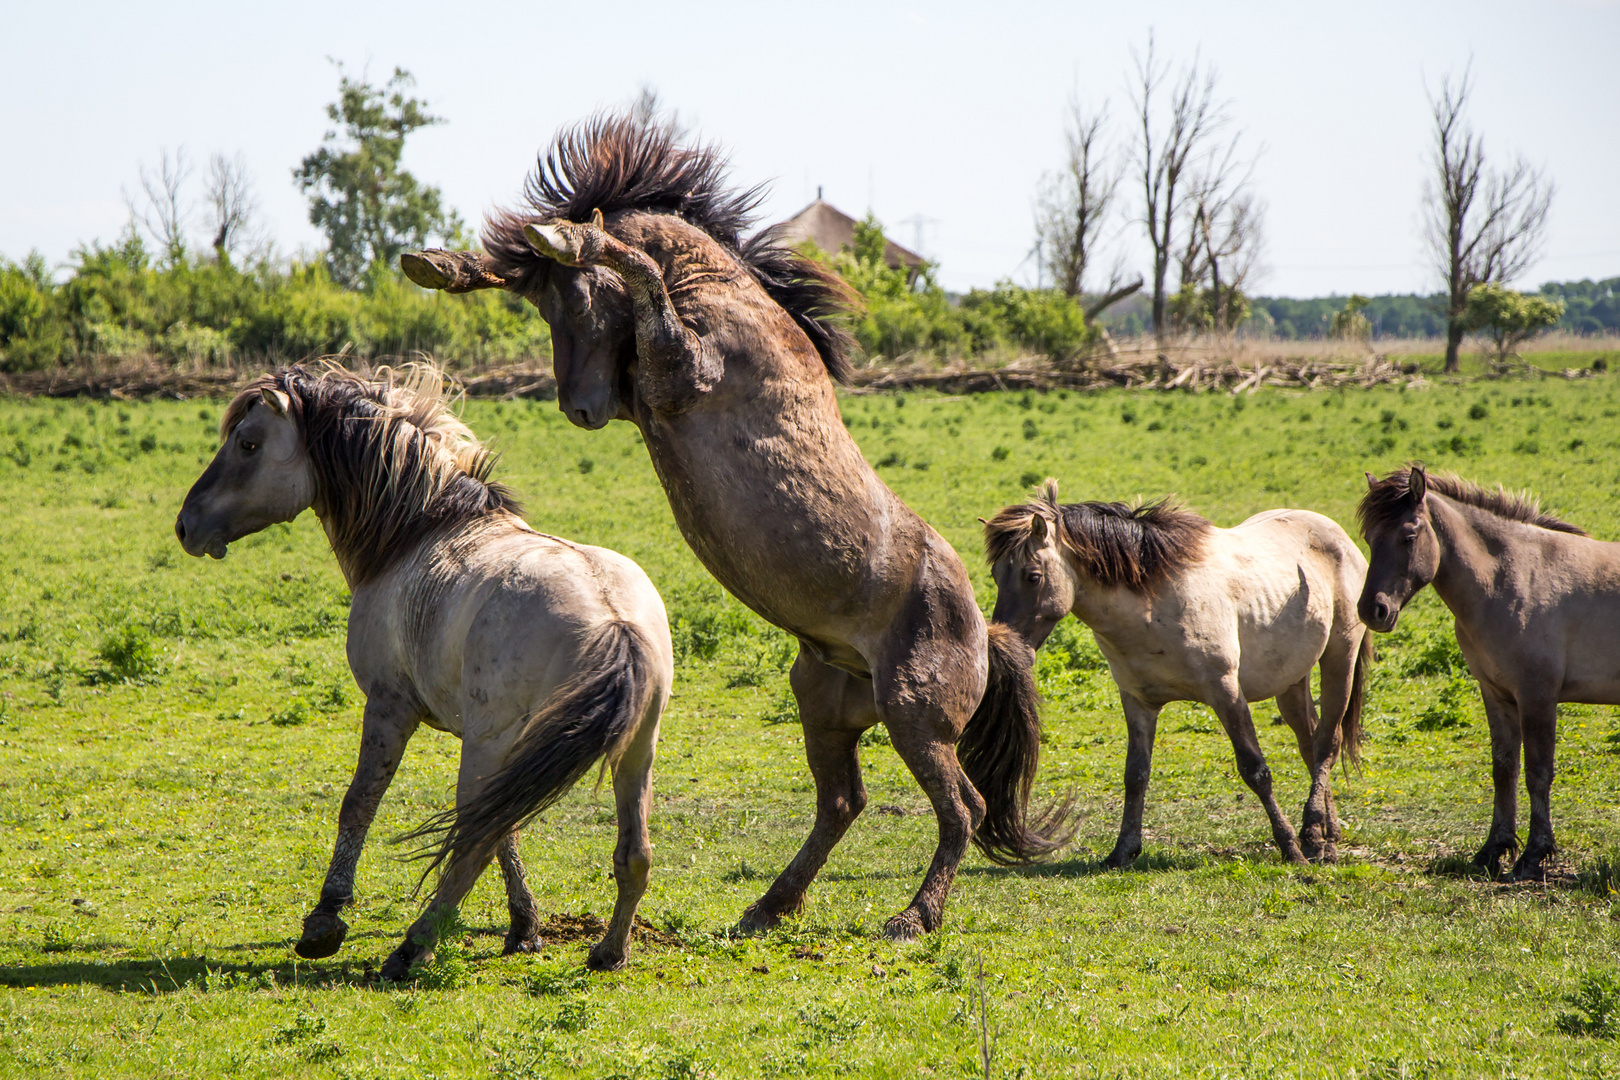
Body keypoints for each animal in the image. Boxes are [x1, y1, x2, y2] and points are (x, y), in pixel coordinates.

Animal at [179, 365, 677, 977]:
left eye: (248, 443)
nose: (186, 525)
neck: (416, 533)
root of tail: (614, 622)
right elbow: (506, 828)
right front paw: (525, 928)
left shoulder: (390, 706)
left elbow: (360, 803)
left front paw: (325, 919)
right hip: (633, 752)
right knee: (629, 853)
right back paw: (608, 951)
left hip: (495, 743)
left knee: (471, 846)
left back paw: (411, 948)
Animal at [401, 111, 1075, 939]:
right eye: (545, 306)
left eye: (583, 298)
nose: (581, 409)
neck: (722, 299)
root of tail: (988, 631)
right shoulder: (643, 396)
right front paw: (439, 264)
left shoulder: (675, 371)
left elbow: (636, 266)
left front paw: (569, 237)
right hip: (825, 702)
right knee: (844, 802)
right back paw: (770, 906)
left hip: (915, 715)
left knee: (964, 809)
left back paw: (914, 916)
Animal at [978, 485, 1373, 867]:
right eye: (996, 576)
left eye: (1032, 576)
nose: (1005, 646)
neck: (1154, 606)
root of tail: (1337, 534)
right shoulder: (1137, 700)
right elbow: (1135, 775)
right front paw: (1123, 851)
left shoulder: (1226, 692)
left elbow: (1255, 770)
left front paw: (1289, 848)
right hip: (1291, 680)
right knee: (1310, 740)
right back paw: (1324, 836)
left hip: (1339, 658)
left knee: (1327, 742)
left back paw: (1315, 839)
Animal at [1354, 466, 1620, 880]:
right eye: (1369, 538)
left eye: (1409, 536)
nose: (1372, 611)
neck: (1515, 579)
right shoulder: (1497, 695)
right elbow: (1504, 770)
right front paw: (1494, 850)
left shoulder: (1537, 696)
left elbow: (1538, 772)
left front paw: (1534, 855)